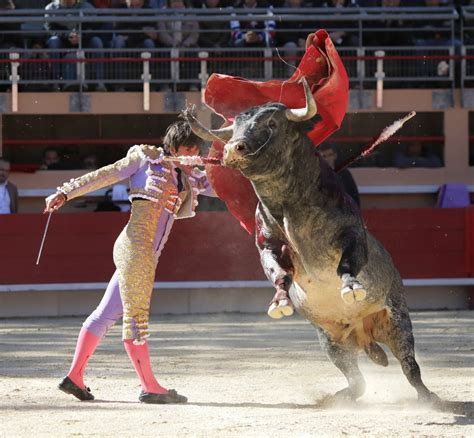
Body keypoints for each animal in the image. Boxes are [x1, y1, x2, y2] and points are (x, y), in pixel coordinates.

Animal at [184, 78, 440, 404]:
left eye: (272, 123)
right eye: (235, 127)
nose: (233, 148)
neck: (288, 204)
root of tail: (365, 334)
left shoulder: (352, 233)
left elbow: (347, 263)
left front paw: (351, 287)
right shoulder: (267, 246)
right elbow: (278, 273)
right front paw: (280, 301)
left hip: (397, 321)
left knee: (410, 367)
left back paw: (429, 397)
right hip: (331, 341)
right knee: (357, 382)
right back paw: (334, 398)